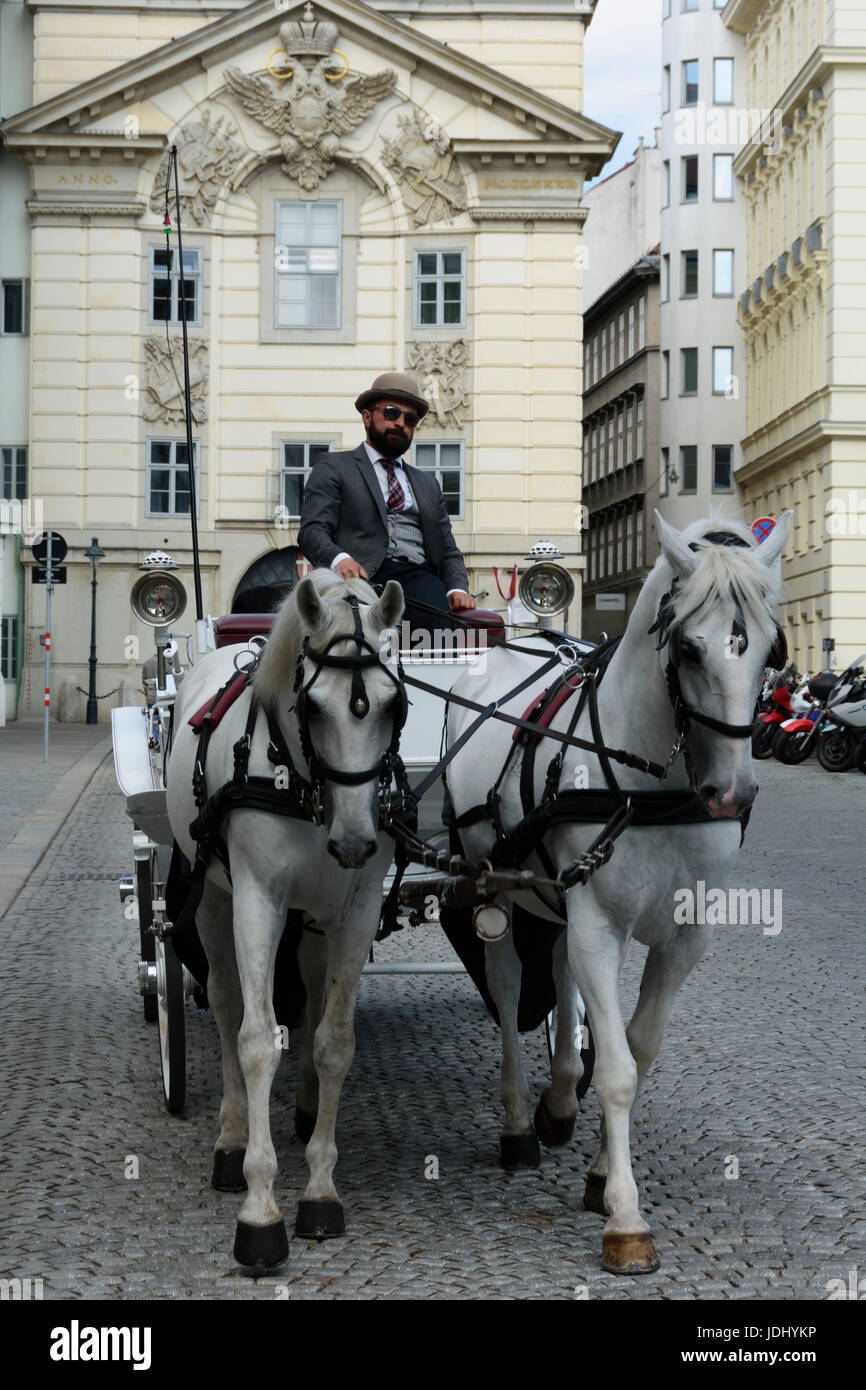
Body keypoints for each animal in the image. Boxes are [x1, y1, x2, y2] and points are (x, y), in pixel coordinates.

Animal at [166, 567, 403, 1273]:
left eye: (393, 705)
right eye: (314, 706)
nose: (352, 841)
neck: (307, 787)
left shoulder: (357, 907)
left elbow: (333, 1040)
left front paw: (321, 1191)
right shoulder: (257, 900)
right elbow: (254, 1039)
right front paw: (259, 1207)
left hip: (317, 916)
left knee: (312, 987)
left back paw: (303, 1109)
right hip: (211, 898)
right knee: (223, 1002)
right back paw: (229, 1140)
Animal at [447, 511, 795, 1273]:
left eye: (771, 652)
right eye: (690, 647)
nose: (732, 794)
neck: (650, 785)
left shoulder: (684, 935)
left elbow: (639, 1048)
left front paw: (603, 1171)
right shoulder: (599, 923)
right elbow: (616, 1070)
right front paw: (626, 1219)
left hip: (556, 893)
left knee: (556, 971)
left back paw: (557, 1101)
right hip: (498, 883)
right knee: (511, 983)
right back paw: (520, 1121)